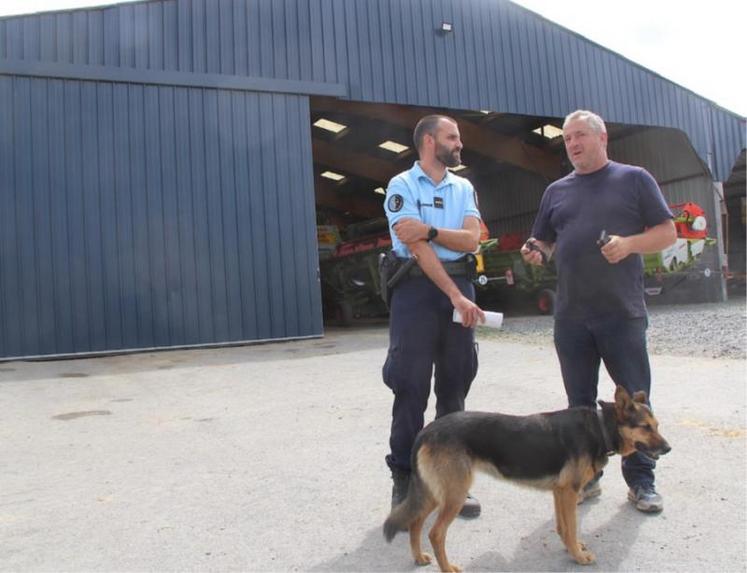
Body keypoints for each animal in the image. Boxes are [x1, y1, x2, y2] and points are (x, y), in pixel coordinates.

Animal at [386, 386, 672, 568]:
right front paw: (579, 557)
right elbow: (571, 527)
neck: (600, 427)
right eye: (645, 427)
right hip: (454, 495)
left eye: (657, 426)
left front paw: (572, 548)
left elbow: (564, 527)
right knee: (435, 533)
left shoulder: (561, 492)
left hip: (437, 494)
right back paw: (447, 567)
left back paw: (419, 558)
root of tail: (427, 430)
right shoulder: (569, 492)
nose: (668, 448)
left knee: (416, 523)